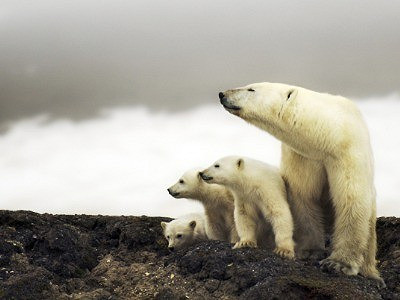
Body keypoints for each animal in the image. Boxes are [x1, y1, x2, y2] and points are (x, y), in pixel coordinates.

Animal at [219, 83, 384, 284]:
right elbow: (304, 198)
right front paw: (310, 251)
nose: (222, 94)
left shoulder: (347, 152)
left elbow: (351, 201)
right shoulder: (302, 157)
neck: (328, 135)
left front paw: (338, 263)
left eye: (251, 89)